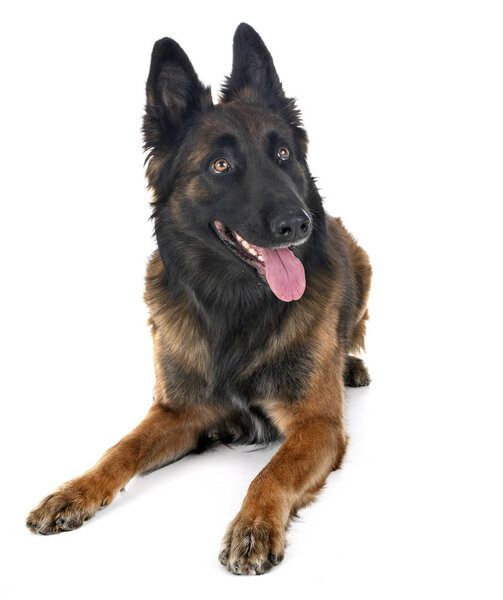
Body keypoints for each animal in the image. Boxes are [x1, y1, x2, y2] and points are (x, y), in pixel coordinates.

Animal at [28, 24, 374, 576]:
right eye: (221, 165)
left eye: (283, 154)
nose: (298, 224)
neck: (234, 304)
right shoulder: (177, 412)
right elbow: (120, 449)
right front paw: (74, 492)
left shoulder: (317, 425)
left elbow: (271, 473)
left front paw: (253, 525)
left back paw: (352, 365)